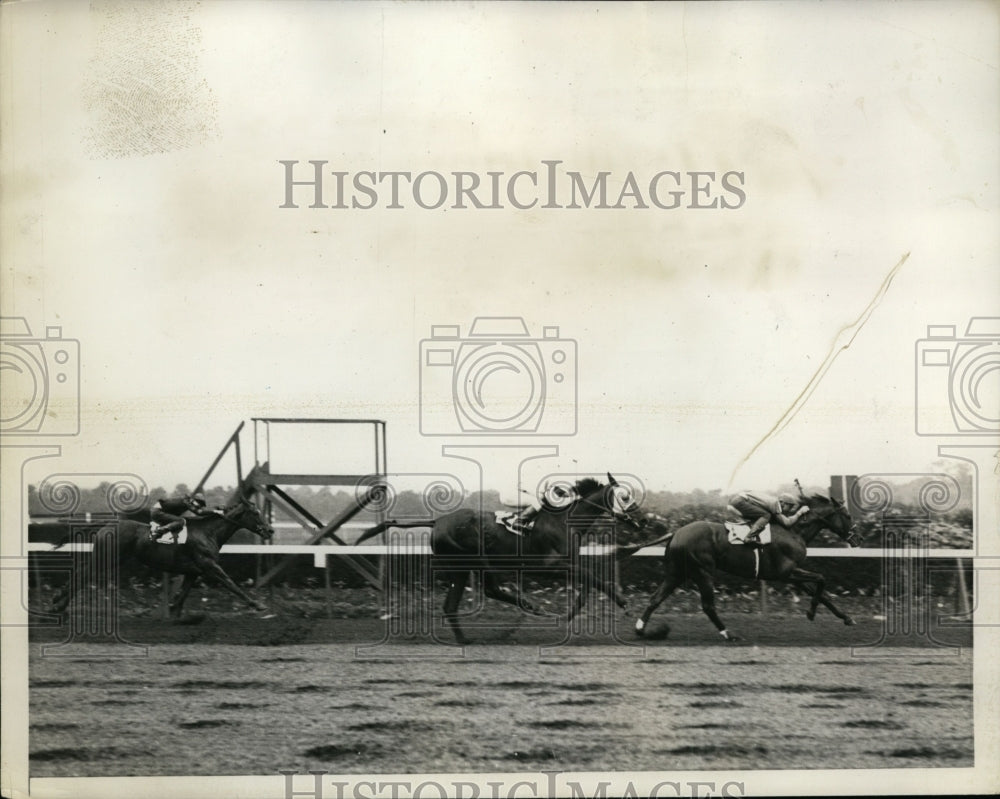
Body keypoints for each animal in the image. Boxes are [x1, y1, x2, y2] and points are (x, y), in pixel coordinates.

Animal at [51, 488, 274, 620]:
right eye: (255, 513)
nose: (270, 530)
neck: (208, 532)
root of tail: (108, 524)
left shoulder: (194, 571)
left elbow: (184, 592)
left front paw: (174, 613)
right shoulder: (210, 566)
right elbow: (232, 584)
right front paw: (259, 605)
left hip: (111, 558)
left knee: (82, 572)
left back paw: (59, 603)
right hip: (107, 557)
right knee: (83, 574)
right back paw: (58, 603)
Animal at [358, 476, 648, 644]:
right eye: (625, 496)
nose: (644, 519)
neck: (564, 520)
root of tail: (437, 521)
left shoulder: (569, 563)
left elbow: (589, 582)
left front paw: (573, 612)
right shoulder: (553, 566)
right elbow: (593, 578)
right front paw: (623, 603)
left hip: (466, 567)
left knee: (461, 601)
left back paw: (473, 635)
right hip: (472, 562)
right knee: (485, 592)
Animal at [624, 482, 860, 644]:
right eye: (848, 516)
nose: (856, 539)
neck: (793, 530)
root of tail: (676, 533)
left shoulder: (791, 573)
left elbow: (823, 593)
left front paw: (847, 618)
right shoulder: (786, 572)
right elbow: (822, 579)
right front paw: (811, 612)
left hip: (677, 572)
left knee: (655, 598)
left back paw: (641, 629)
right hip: (703, 572)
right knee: (707, 606)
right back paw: (729, 633)